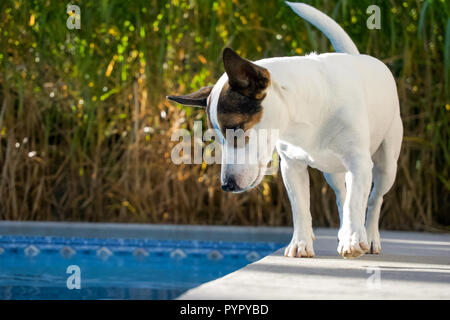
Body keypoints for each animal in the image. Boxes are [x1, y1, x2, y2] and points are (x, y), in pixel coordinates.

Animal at [170, 1, 404, 258]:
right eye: (217, 138)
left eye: (236, 129)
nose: (227, 185)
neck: (303, 116)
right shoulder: (292, 166)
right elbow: (301, 207)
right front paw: (301, 243)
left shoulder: (359, 162)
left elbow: (357, 201)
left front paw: (353, 240)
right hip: (332, 170)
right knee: (341, 194)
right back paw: (344, 230)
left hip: (386, 164)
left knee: (374, 198)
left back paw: (368, 236)